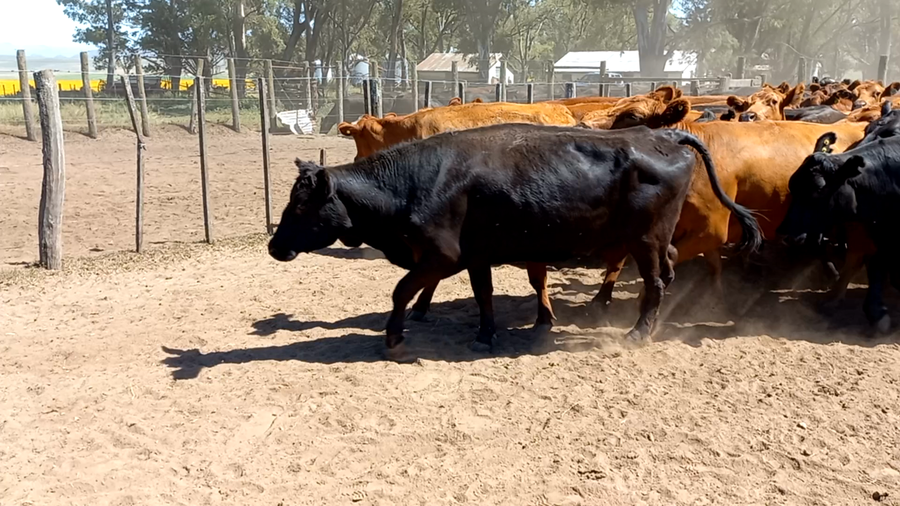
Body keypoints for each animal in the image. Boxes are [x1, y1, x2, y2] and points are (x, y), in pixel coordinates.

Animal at [268, 124, 762, 360]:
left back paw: (638, 333)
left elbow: (402, 291)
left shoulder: (441, 255)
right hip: (656, 241)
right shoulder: (477, 255)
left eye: (300, 207)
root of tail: (660, 134)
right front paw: (486, 333)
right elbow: (483, 295)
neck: (415, 182)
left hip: (645, 240)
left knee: (656, 283)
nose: (273, 247)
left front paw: (394, 338)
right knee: (671, 269)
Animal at [777, 134, 900, 332]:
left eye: (819, 188)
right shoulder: (879, 230)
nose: (783, 234)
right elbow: (876, 264)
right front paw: (877, 313)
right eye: (792, 185)